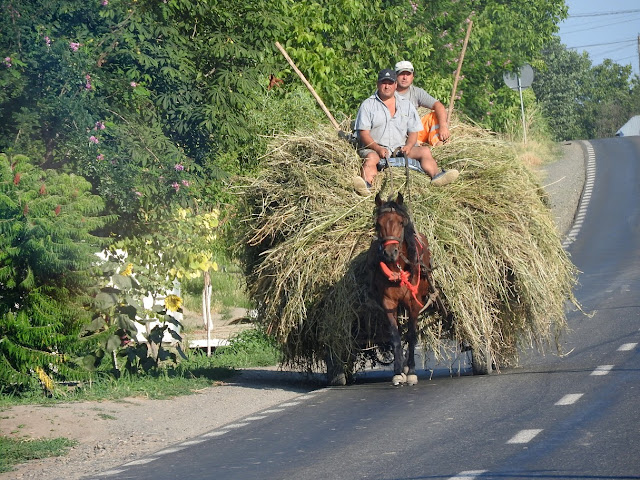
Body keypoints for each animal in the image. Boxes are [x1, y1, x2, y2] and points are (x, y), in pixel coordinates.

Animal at [368, 191, 438, 386]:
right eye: (378, 224)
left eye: (401, 222)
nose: (390, 253)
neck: (398, 269)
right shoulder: (388, 303)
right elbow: (395, 336)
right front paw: (398, 371)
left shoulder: (415, 303)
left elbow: (412, 334)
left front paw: (412, 371)